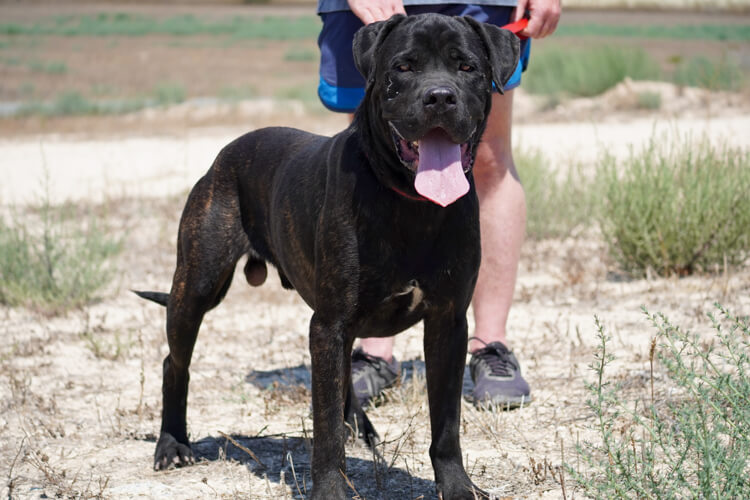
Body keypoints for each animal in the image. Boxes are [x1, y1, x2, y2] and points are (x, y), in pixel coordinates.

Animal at [135, 13, 520, 498]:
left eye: (467, 67)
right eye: (403, 67)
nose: (439, 96)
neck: (411, 202)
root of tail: (227, 151)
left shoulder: (447, 322)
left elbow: (446, 423)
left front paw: (457, 486)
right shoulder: (329, 323)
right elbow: (325, 428)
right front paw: (331, 488)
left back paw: (360, 425)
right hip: (197, 284)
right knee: (175, 362)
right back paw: (172, 444)